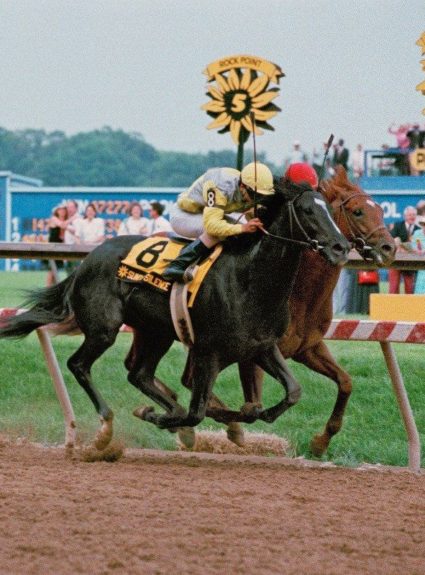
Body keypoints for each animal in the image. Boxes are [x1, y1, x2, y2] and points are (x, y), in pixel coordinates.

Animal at [0, 180, 348, 450]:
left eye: (331, 211)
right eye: (307, 210)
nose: (342, 248)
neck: (250, 281)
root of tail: (87, 260)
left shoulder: (261, 346)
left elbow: (290, 393)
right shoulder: (208, 351)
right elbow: (199, 410)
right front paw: (162, 417)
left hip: (156, 332)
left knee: (139, 375)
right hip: (104, 328)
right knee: (79, 365)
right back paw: (108, 426)